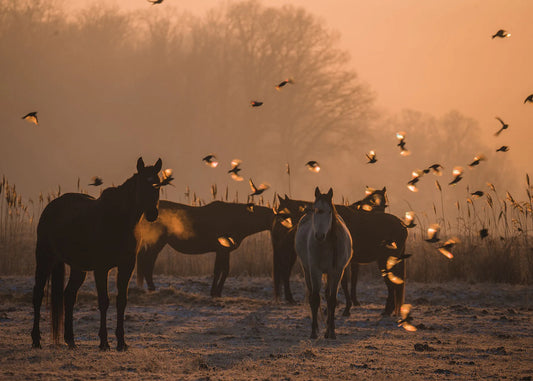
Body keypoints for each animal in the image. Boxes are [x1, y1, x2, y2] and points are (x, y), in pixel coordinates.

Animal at [31, 157, 162, 350]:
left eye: (158, 185)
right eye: (142, 184)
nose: (153, 214)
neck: (119, 220)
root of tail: (50, 207)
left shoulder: (127, 266)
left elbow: (121, 301)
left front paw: (121, 342)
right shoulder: (101, 269)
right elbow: (104, 301)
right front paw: (104, 342)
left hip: (78, 268)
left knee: (69, 295)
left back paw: (70, 340)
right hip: (45, 258)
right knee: (38, 294)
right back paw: (36, 340)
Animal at [135, 200, 272, 296]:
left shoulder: (225, 250)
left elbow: (223, 270)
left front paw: (217, 292)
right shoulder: (221, 248)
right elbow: (219, 270)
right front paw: (215, 292)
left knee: (146, 262)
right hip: (156, 241)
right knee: (147, 262)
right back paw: (152, 288)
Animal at [272, 191, 406, 316]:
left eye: (281, 212)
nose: (276, 229)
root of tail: (403, 226)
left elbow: (343, 284)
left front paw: (344, 308)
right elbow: (344, 284)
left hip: (384, 261)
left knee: (391, 285)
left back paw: (387, 310)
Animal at [294, 187, 352, 338]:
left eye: (329, 211)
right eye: (315, 210)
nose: (319, 236)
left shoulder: (337, 272)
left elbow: (332, 300)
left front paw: (331, 332)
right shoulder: (315, 271)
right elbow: (315, 299)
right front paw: (314, 332)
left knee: (327, 295)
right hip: (307, 270)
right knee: (312, 297)